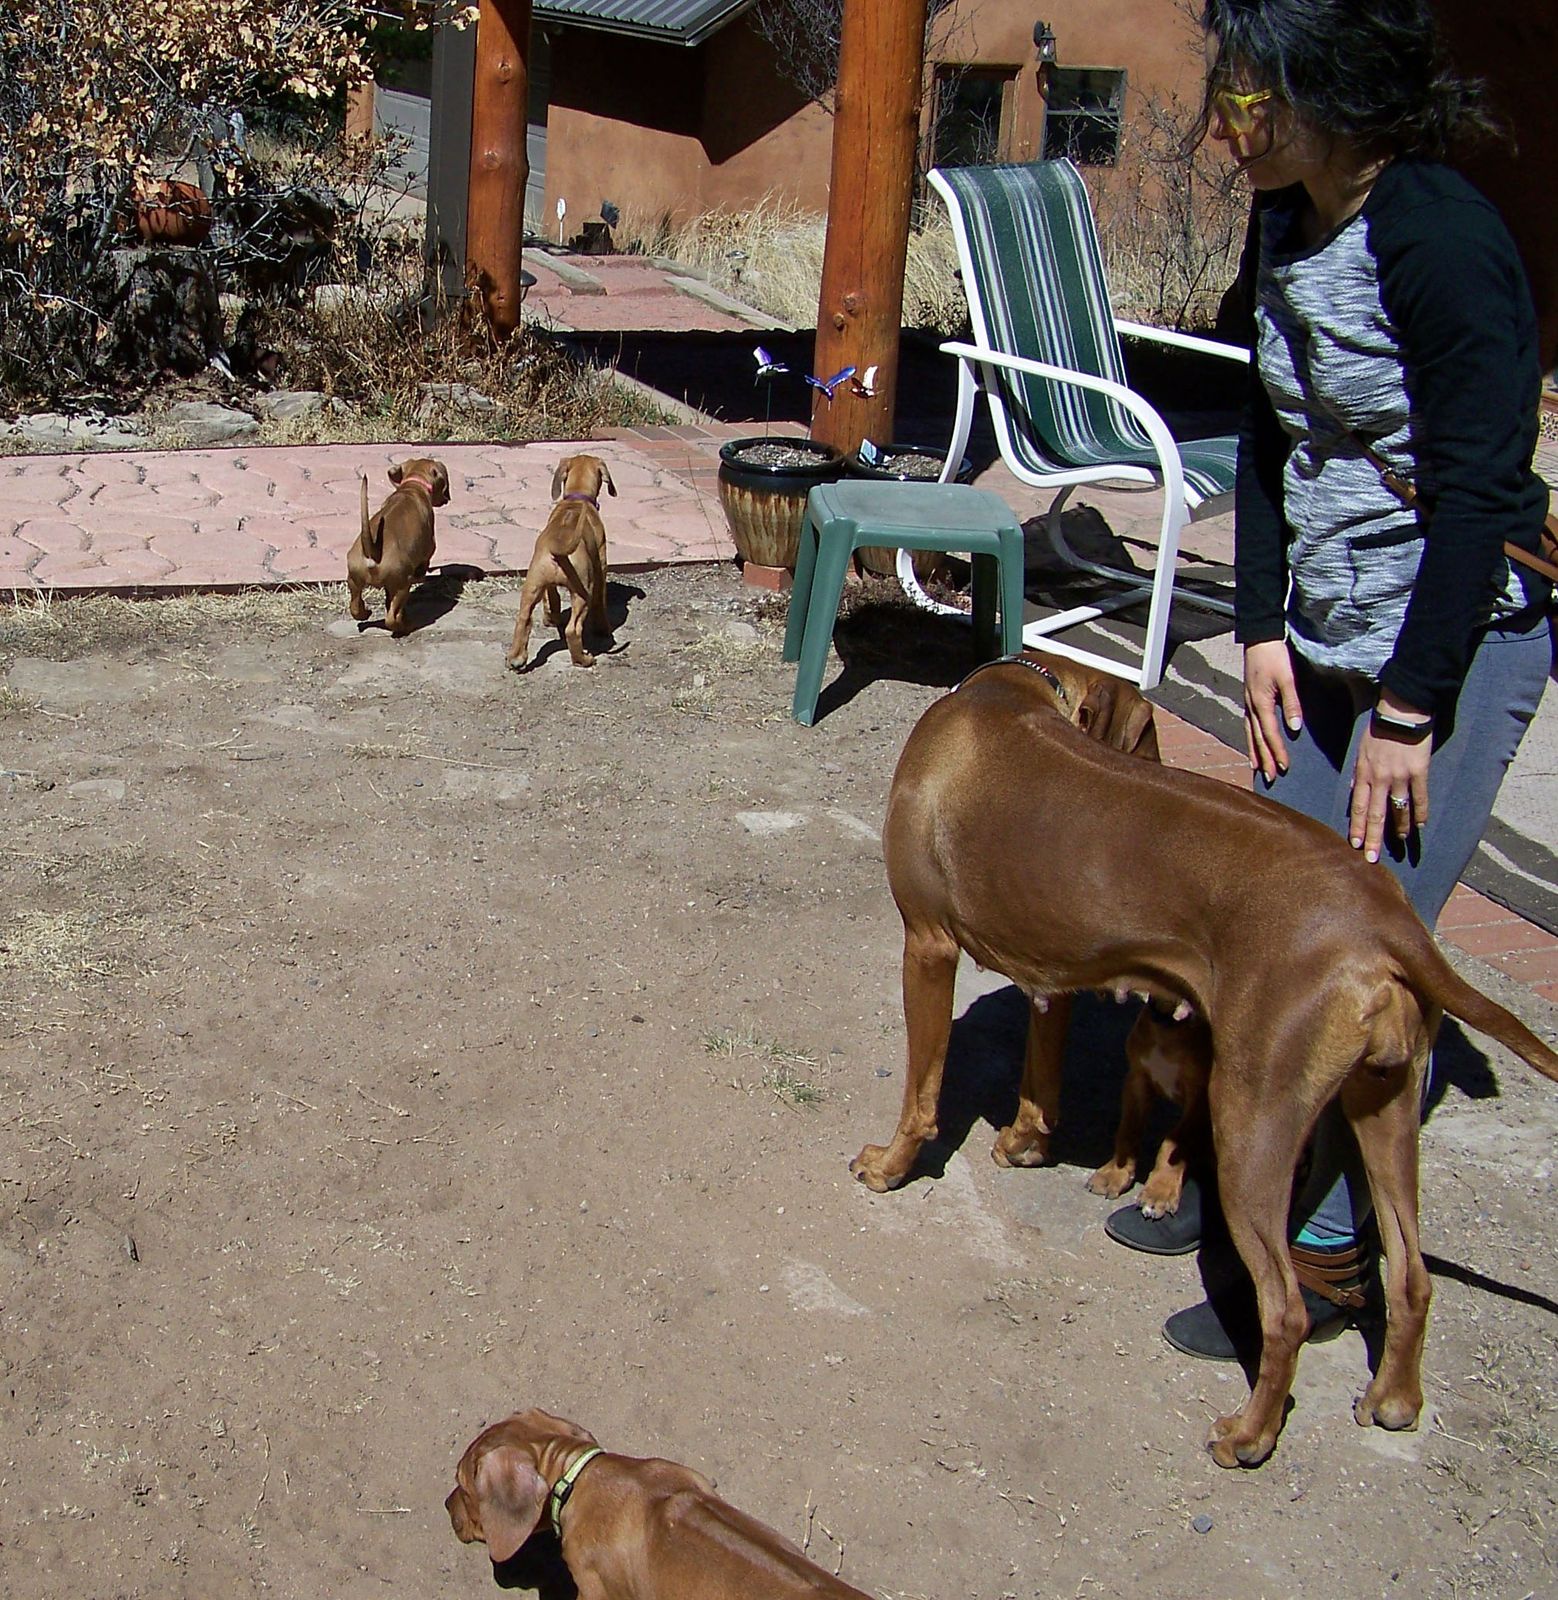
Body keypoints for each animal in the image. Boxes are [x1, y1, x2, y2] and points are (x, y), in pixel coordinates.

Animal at [347, 457, 451, 637]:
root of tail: (372, 551)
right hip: (402, 585)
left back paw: (366, 613)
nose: (446, 500)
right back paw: (406, 626)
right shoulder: (429, 548)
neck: (413, 485)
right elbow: (425, 562)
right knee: (392, 617)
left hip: (354, 579)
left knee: (355, 608)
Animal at [507, 454, 615, 669]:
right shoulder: (601, 563)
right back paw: (583, 659)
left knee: (523, 619)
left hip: (532, 585)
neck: (577, 498)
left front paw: (551, 617)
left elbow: (552, 598)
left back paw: (516, 658)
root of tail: (558, 546)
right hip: (583, 591)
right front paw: (603, 628)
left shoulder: (546, 586)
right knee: (573, 629)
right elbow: (601, 601)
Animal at [850, 654, 1558, 1467]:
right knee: (1412, 1276)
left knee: (1284, 1308)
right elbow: (1041, 1073)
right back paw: (1395, 1399)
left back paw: (1249, 1434)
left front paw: (891, 1166)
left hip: (1253, 1121)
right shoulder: (1055, 973)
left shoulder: (927, 943)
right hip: (1387, 1107)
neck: (1018, 686)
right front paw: (1025, 1143)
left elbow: (923, 1093)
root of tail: (1387, 918)